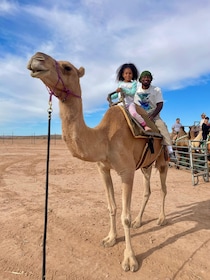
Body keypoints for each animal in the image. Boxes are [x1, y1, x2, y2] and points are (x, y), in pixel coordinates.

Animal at [26, 51, 169, 272]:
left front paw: (130, 260)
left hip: (162, 161)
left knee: (163, 188)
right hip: (146, 165)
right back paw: (139, 221)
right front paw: (110, 239)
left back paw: (161, 219)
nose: (37, 58)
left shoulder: (126, 172)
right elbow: (112, 207)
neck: (105, 138)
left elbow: (125, 216)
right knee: (148, 190)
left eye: (67, 67)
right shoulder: (103, 169)